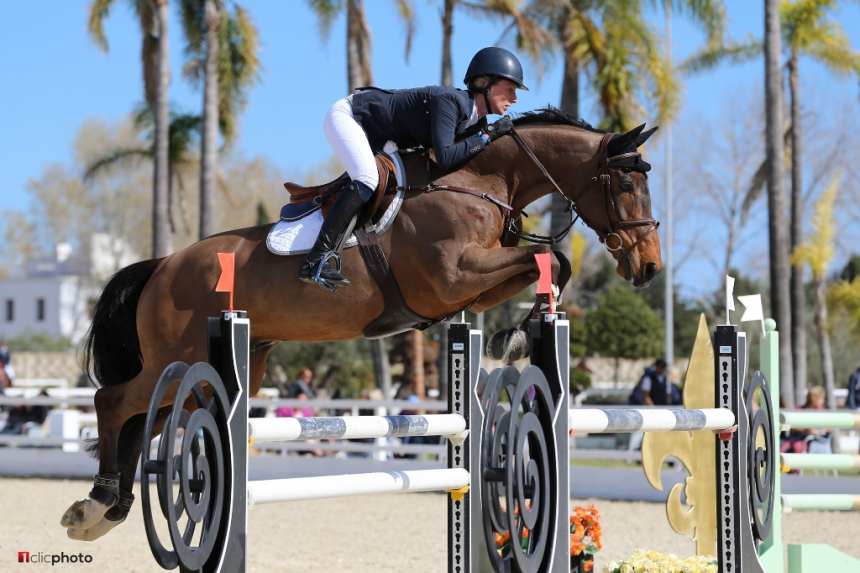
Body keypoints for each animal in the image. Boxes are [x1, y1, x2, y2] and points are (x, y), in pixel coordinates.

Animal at [60, 108, 662, 540]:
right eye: (626, 187)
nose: (649, 268)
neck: (477, 178)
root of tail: (163, 265)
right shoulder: (452, 275)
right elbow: (550, 260)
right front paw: (518, 333)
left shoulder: (472, 283)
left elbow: (543, 266)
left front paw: (510, 332)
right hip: (178, 357)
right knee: (114, 402)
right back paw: (98, 501)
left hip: (216, 369)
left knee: (144, 419)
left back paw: (105, 509)